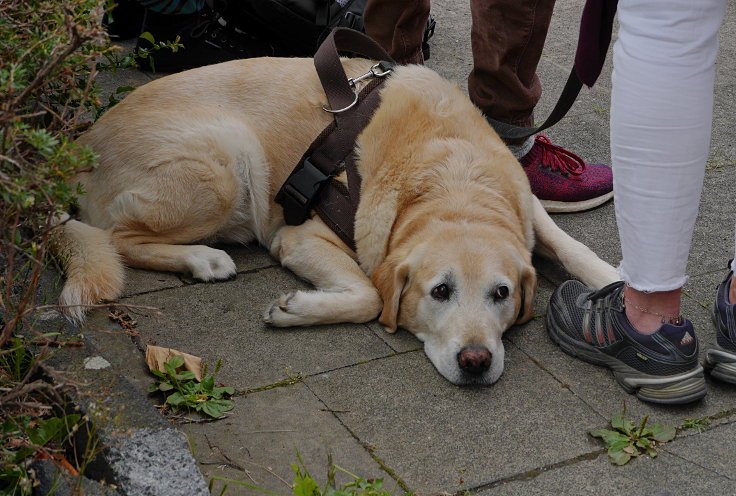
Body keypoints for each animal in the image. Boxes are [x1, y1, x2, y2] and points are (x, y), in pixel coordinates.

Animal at [60, 56, 620, 386]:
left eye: (501, 294)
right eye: (439, 292)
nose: (476, 361)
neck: (452, 178)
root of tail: (76, 146)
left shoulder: (526, 203)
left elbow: (569, 245)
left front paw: (615, 280)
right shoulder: (298, 234)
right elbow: (371, 296)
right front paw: (297, 309)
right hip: (226, 159)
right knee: (115, 237)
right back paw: (203, 258)